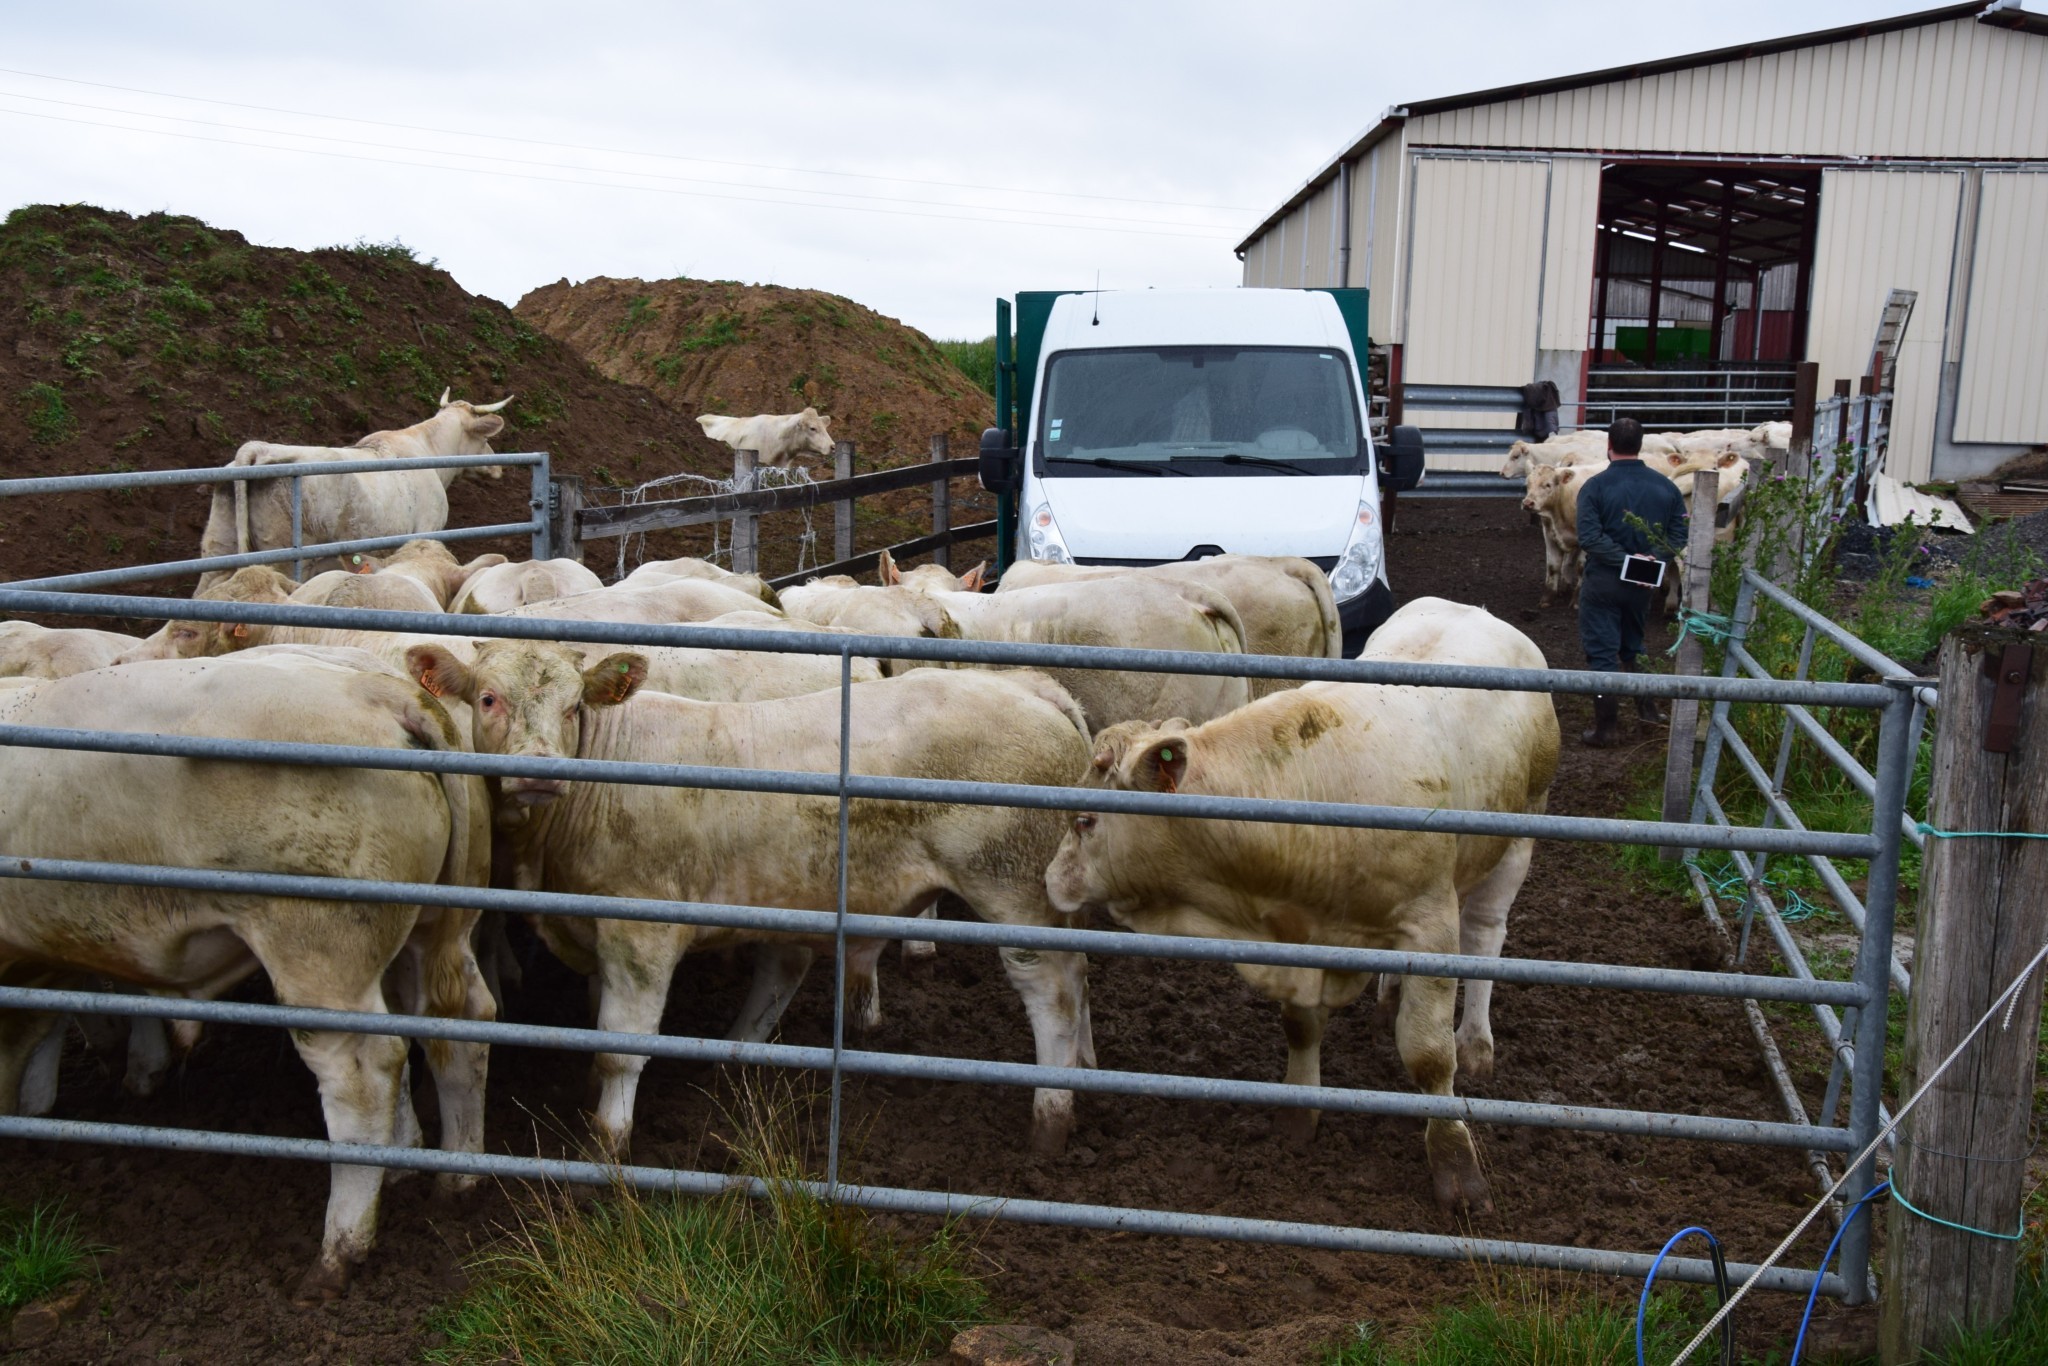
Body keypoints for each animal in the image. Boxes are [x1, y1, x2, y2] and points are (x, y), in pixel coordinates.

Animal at [1048, 602, 1556, 1212]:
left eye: (1085, 819)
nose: (1051, 881)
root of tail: (1471, 610)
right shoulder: (1296, 935)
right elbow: (1300, 1025)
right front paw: (1298, 1114)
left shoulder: (1432, 921)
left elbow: (1429, 1055)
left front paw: (1457, 1167)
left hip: (1520, 833)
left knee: (1486, 933)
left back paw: (1477, 1041)